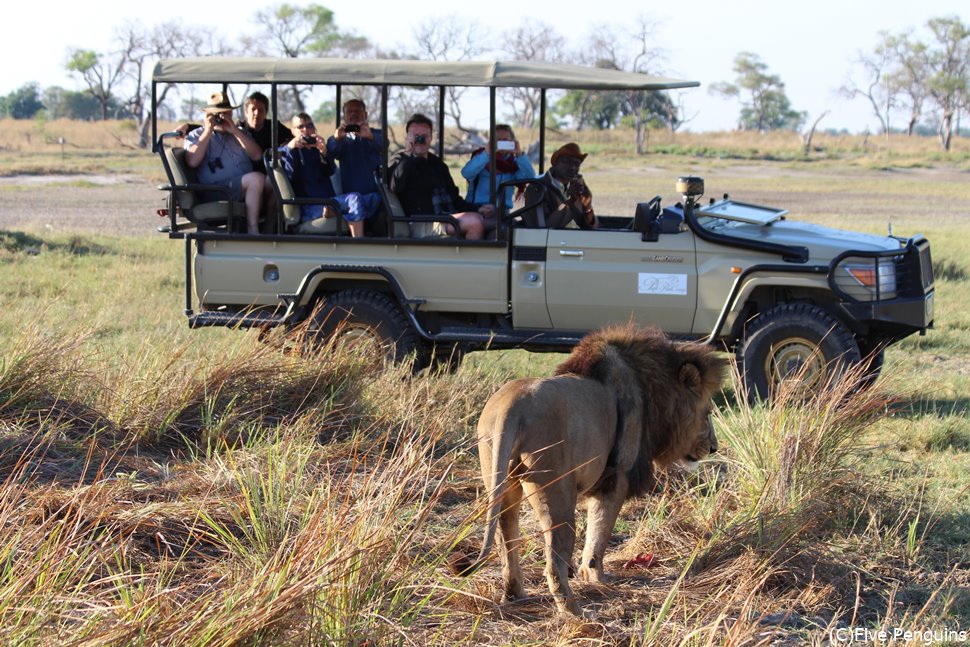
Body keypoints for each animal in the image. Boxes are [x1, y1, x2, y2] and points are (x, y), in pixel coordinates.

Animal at [458, 326, 724, 616]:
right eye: (708, 411)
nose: (714, 447)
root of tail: (512, 407)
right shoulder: (616, 478)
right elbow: (599, 535)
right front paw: (597, 578)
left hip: (501, 482)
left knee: (507, 541)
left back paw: (516, 595)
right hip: (558, 494)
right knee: (553, 563)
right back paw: (577, 613)